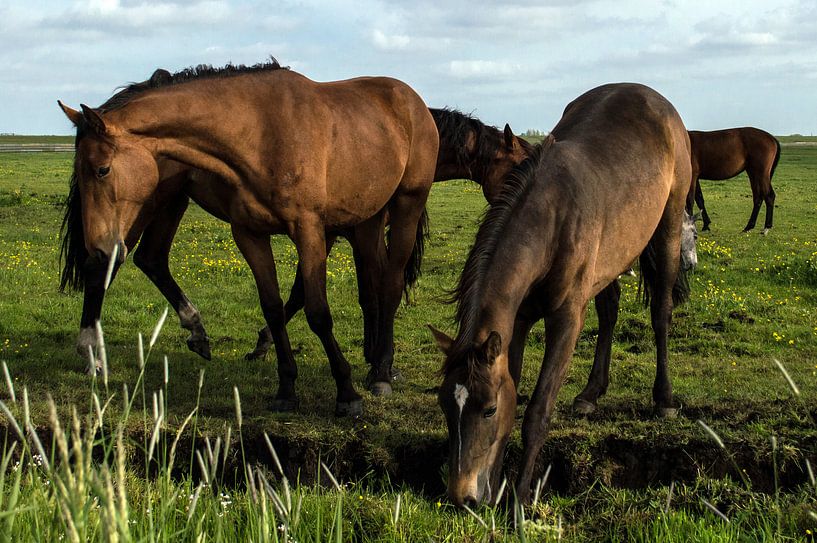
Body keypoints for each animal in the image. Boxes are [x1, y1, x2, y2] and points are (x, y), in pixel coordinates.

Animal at [58, 60, 438, 417]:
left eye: (102, 169)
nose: (98, 245)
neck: (258, 134)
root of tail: (413, 102)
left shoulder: (310, 230)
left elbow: (317, 311)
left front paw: (346, 393)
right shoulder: (250, 234)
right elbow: (272, 307)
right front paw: (286, 389)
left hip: (405, 205)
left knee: (391, 283)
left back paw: (382, 374)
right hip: (366, 217)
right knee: (131, 262)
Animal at [430, 83, 692, 506]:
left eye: (487, 410)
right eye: (443, 404)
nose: (461, 495)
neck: (551, 219)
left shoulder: (566, 320)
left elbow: (537, 411)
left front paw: (521, 497)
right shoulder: (517, 322)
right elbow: (515, 391)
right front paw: (497, 486)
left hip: (668, 228)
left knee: (661, 312)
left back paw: (664, 399)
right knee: (609, 310)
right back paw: (591, 393)